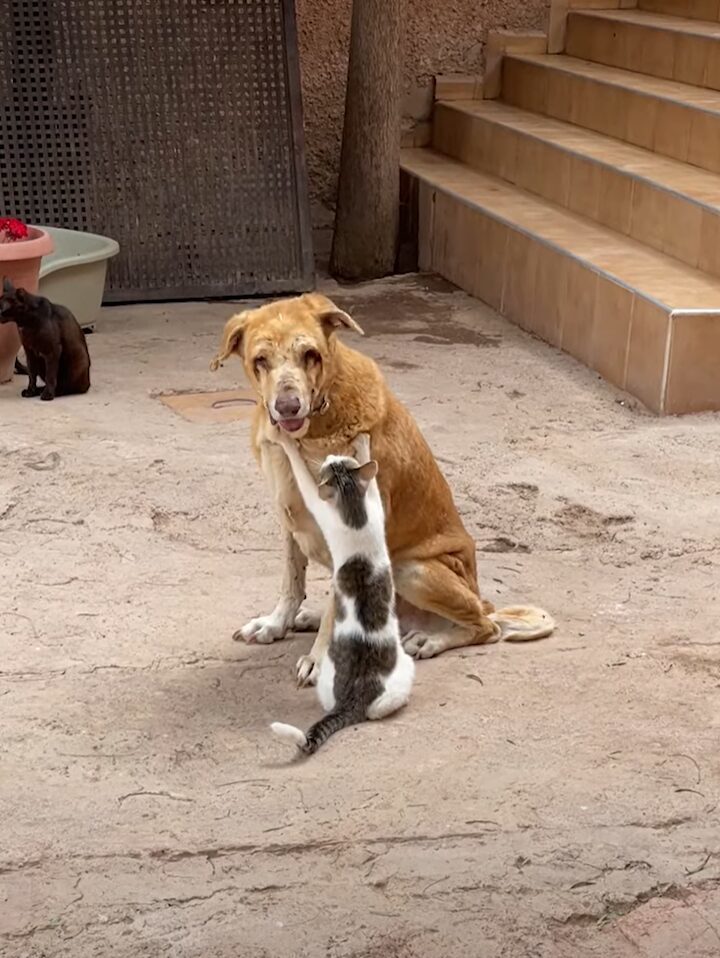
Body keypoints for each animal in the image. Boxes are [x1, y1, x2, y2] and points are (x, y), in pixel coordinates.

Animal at [211, 288, 556, 688]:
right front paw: (276, 623)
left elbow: (329, 607)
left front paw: (319, 660)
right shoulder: (289, 518)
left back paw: (432, 639)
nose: (287, 406)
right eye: (260, 360)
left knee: (486, 626)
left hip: (412, 570)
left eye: (310, 354)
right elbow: (291, 581)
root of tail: (483, 598)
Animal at [272, 432, 416, 752]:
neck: (353, 508)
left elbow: (304, 479)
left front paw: (289, 444)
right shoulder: (374, 506)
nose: (330, 457)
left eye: (335, 463)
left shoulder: (322, 506)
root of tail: (353, 697)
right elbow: (371, 480)